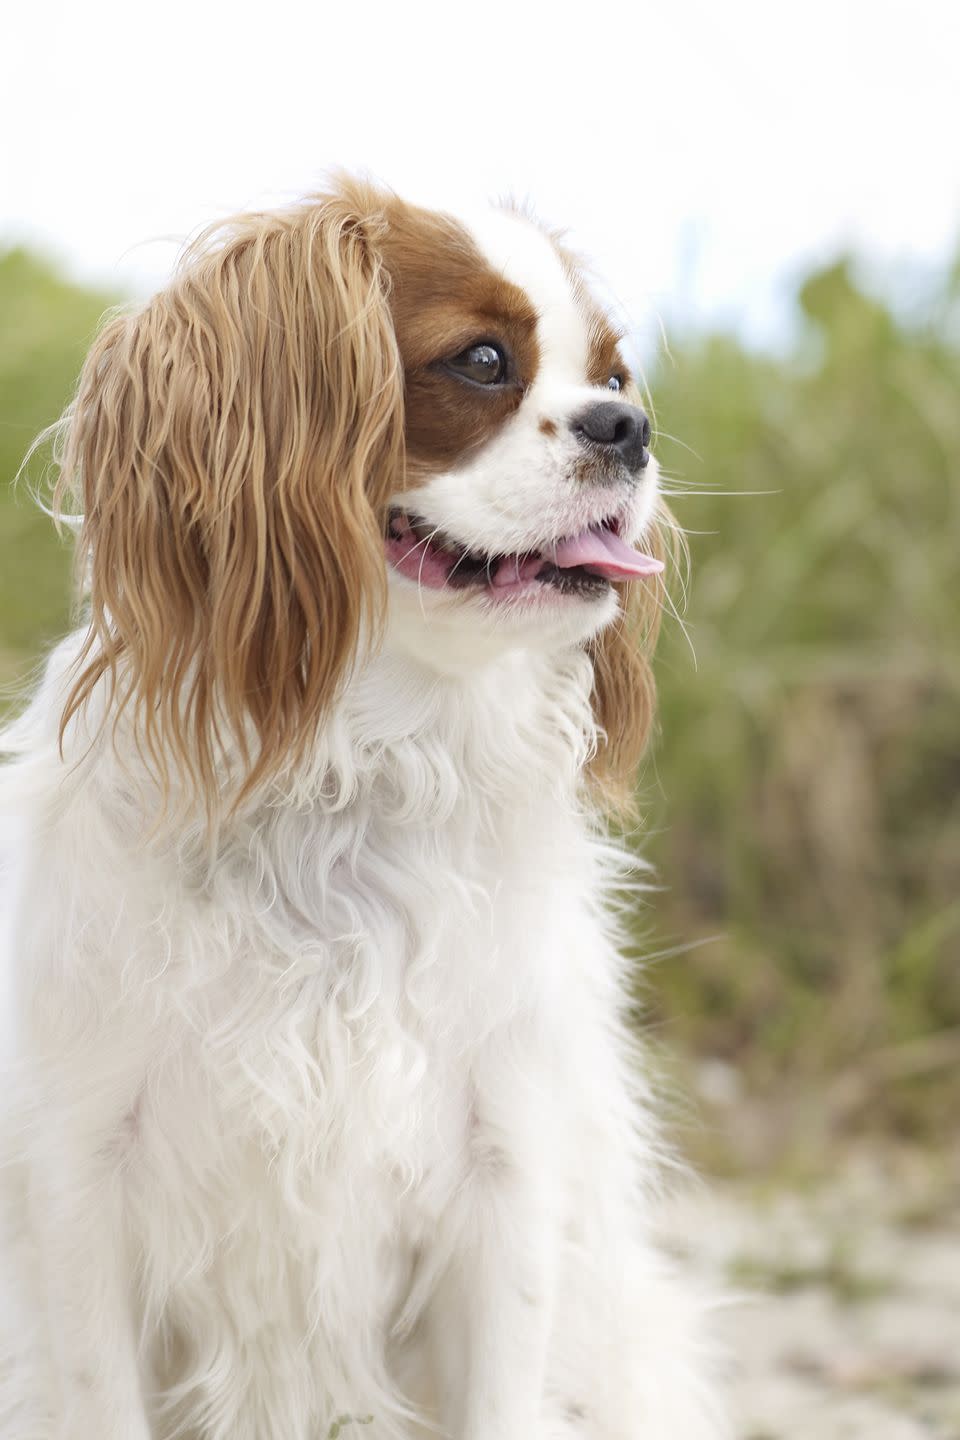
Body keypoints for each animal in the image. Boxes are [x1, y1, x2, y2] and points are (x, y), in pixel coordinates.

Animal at [0, 180, 719, 1440]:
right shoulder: (77, 1179)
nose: (629, 430)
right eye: (482, 361)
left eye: (618, 375)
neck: (360, 777)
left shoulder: (506, 1184)